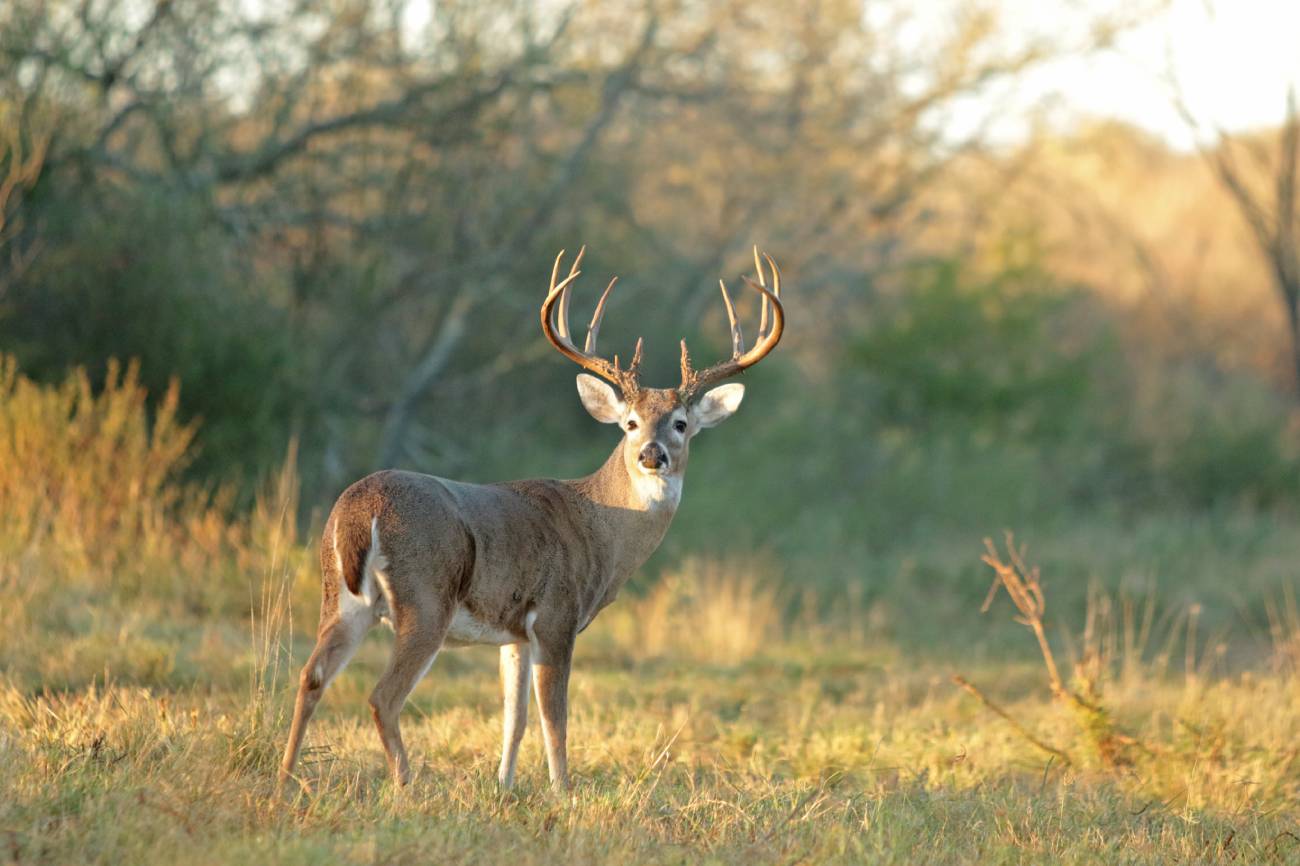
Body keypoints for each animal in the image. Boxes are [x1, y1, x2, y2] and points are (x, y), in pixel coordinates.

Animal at [278, 247, 785, 791]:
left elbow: (514, 717)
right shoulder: (557, 616)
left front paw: (504, 786)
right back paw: (406, 786)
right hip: (425, 597)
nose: (652, 455)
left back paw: (285, 780)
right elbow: (554, 719)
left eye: (681, 423)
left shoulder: (514, 632)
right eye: (630, 423)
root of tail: (359, 507)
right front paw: (563, 792)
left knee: (311, 677)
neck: (600, 527)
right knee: (382, 697)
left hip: (340, 596)